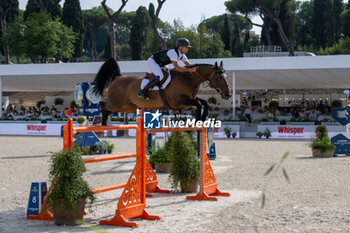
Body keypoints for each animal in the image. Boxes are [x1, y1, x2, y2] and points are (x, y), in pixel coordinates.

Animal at [91, 58, 231, 124]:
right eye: (219, 77)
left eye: (226, 76)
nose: (228, 94)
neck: (189, 79)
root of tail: (119, 77)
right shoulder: (177, 101)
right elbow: (198, 104)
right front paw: (197, 120)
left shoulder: (189, 98)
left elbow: (204, 102)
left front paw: (203, 118)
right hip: (117, 104)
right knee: (103, 105)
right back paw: (103, 123)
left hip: (127, 107)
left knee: (108, 108)